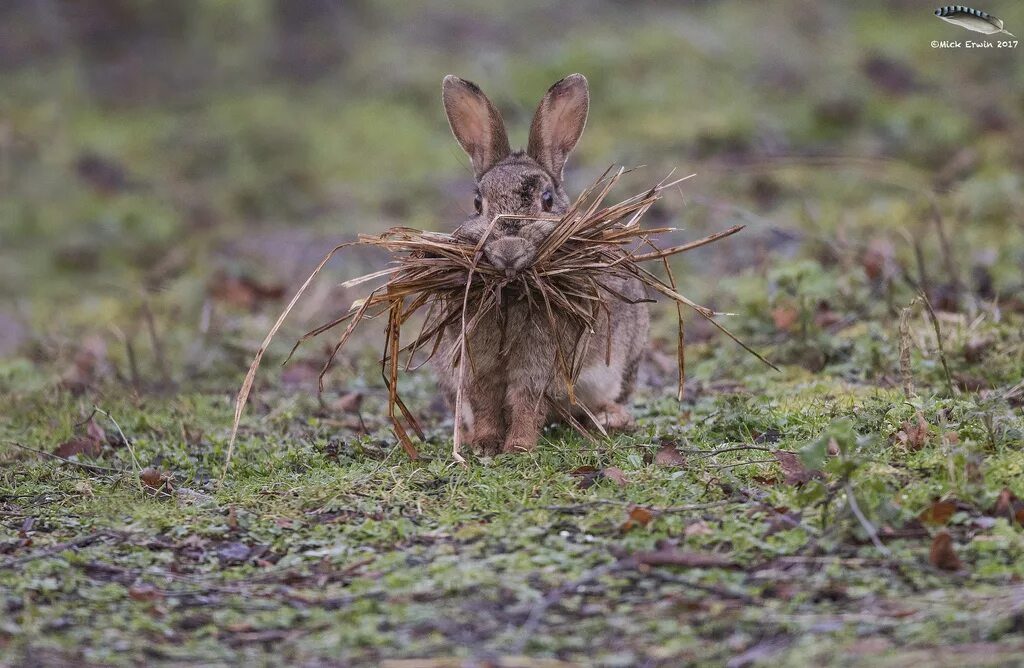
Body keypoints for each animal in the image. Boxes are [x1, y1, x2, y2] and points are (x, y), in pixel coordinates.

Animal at [432, 75, 647, 456]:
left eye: (546, 200)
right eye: (477, 203)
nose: (508, 249)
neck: (511, 292)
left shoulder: (541, 362)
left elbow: (527, 401)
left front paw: (518, 447)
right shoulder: (474, 363)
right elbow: (485, 401)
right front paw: (485, 445)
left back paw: (609, 417)